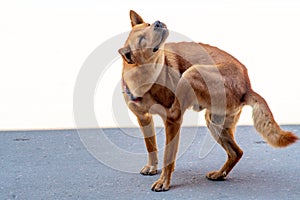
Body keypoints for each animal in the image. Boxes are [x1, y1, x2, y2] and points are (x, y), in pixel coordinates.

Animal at [118, 10, 298, 191]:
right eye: (141, 39)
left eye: (148, 25)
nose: (157, 22)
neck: (143, 79)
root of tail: (247, 86)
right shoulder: (143, 118)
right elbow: (151, 146)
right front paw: (152, 167)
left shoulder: (172, 121)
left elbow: (168, 156)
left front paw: (164, 181)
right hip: (215, 122)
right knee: (236, 152)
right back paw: (220, 174)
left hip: (191, 74)